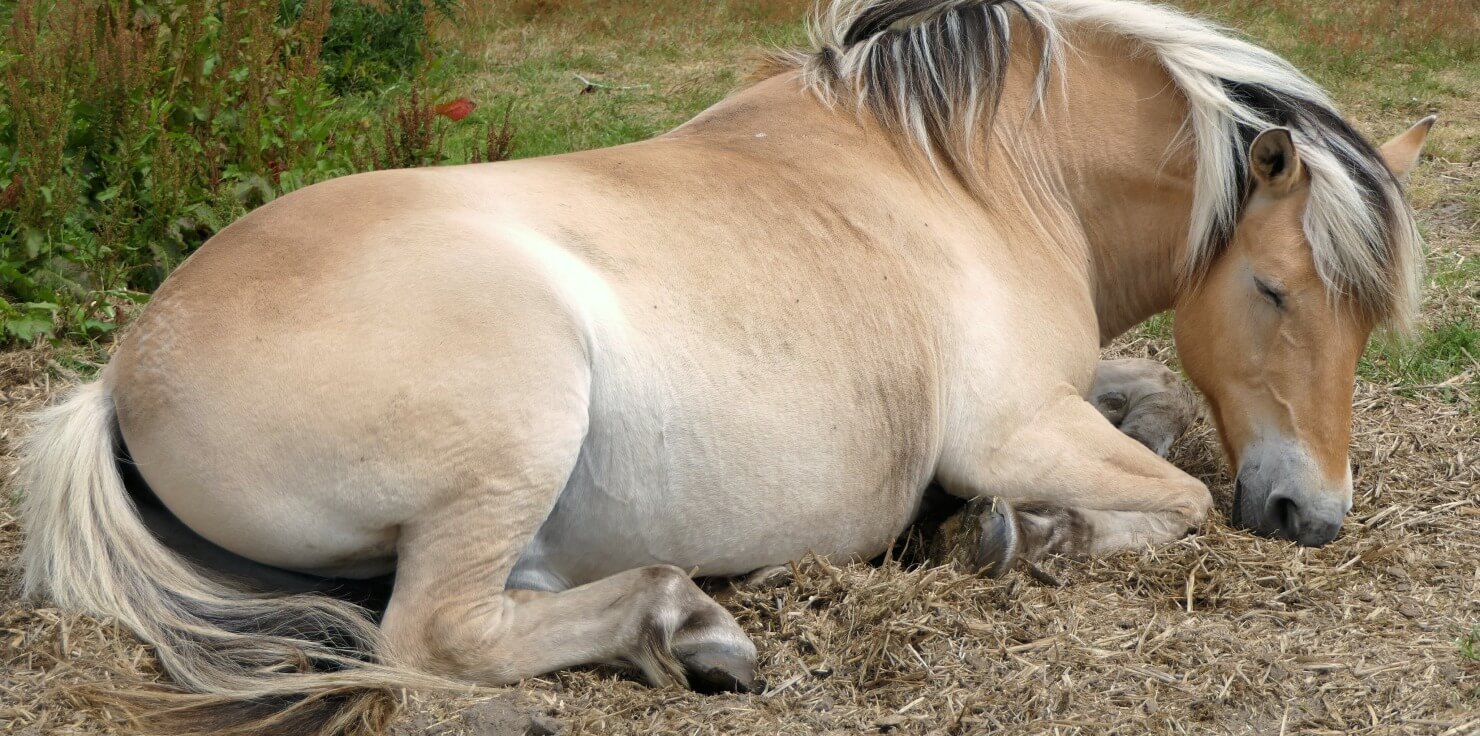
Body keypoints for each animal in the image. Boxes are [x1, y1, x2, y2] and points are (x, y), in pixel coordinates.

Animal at [17, 0, 1434, 732]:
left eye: (1364, 320)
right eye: (1272, 288)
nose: (1313, 511)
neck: (976, 170)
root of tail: (118, 379)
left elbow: (1159, 417)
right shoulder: (1011, 426)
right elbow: (1176, 496)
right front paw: (1020, 533)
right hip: (515, 432)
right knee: (440, 631)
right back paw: (685, 624)